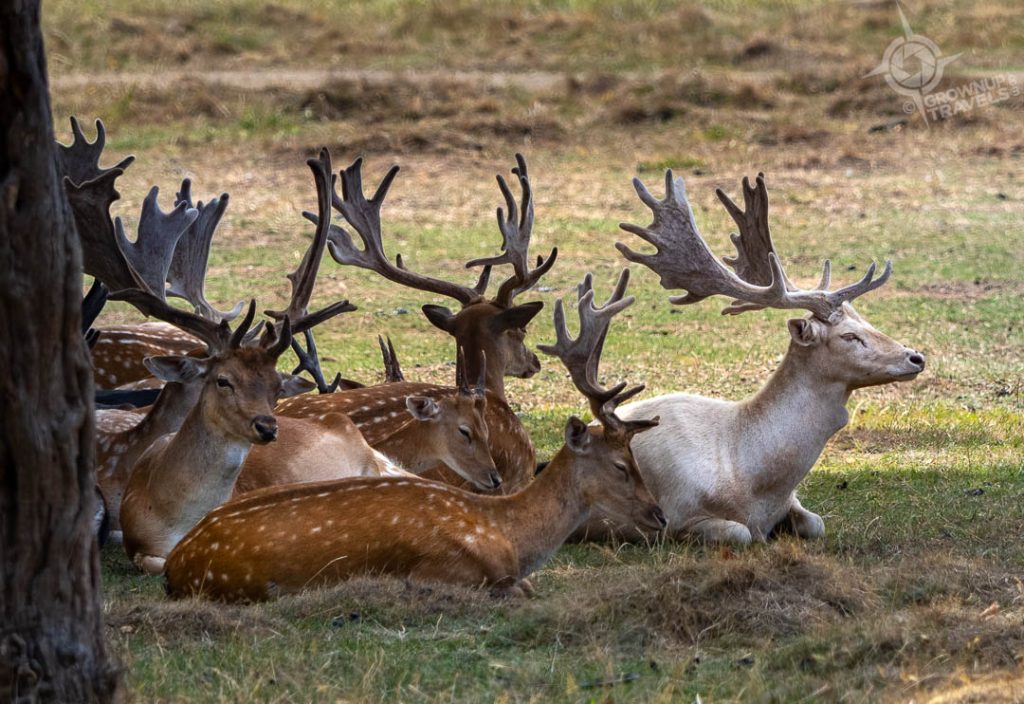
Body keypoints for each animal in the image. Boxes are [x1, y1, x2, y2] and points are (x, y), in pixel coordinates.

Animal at [163, 270, 665, 602]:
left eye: (635, 455)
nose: (658, 515)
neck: (506, 535)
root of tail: (174, 564)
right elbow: (515, 588)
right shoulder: (447, 568)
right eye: (621, 465)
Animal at [584, 171, 926, 545]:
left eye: (867, 323)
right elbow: (740, 533)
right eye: (849, 336)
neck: (752, 482)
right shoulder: (676, 516)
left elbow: (816, 523)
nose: (916, 357)